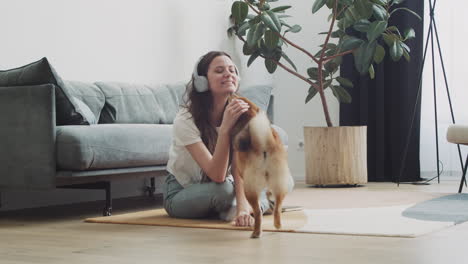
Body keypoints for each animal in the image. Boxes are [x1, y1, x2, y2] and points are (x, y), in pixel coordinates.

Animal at [229, 94, 292, 238]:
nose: (230, 93)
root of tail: (263, 144)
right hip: (280, 183)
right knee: (277, 208)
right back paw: (277, 225)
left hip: (250, 189)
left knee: (258, 213)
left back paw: (256, 233)